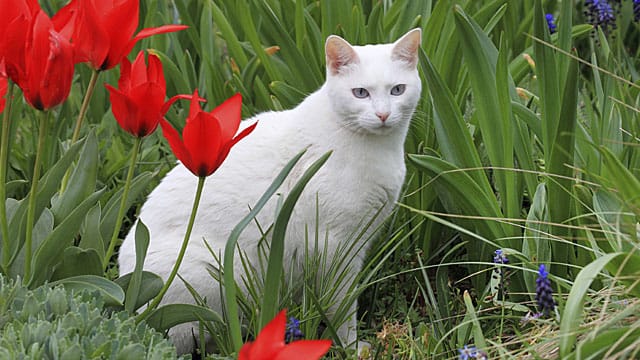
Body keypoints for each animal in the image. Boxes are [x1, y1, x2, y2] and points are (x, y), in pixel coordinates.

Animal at [118, 28, 422, 354]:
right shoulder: (335, 247)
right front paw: (350, 347)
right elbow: (342, 306)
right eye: (361, 93)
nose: (383, 115)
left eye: (397, 90)